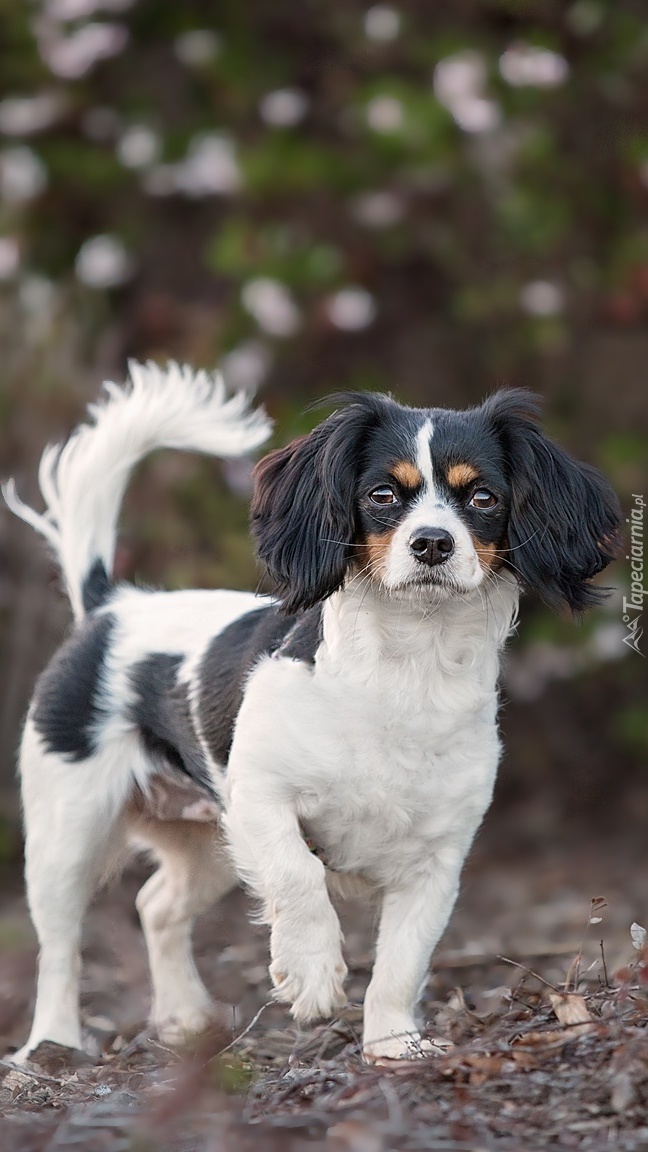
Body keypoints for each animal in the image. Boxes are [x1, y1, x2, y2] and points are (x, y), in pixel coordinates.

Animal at [6, 366, 622, 1059]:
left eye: (484, 498)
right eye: (383, 493)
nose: (432, 542)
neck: (406, 669)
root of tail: (113, 605)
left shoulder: (438, 861)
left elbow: (402, 962)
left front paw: (395, 1047)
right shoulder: (260, 799)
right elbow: (298, 875)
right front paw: (311, 976)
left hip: (208, 845)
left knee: (155, 903)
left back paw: (185, 1020)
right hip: (69, 833)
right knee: (60, 947)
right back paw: (50, 1045)